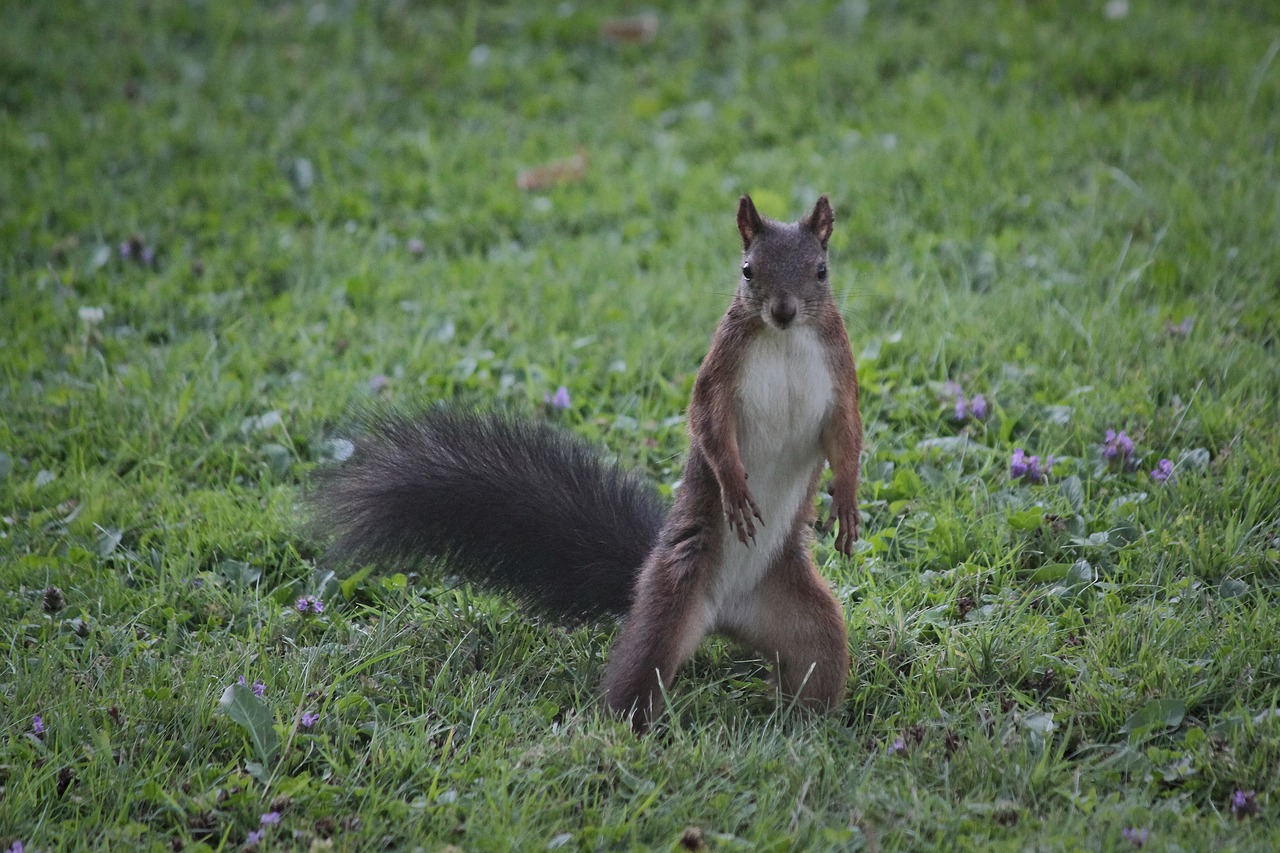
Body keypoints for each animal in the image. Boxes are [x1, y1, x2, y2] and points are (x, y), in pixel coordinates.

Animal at [311, 194, 865, 732]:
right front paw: (733, 486)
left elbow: (846, 436)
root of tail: (725, 616)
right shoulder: (720, 370)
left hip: (803, 617)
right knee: (634, 678)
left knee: (819, 655)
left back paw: (805, 725)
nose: (784, 310)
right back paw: (624, 733)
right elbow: (708, 422)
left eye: (821, 271)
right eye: (748, 270)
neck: (785, 340)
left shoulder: (840, 373)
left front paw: (846, 502)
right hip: (669, 604)